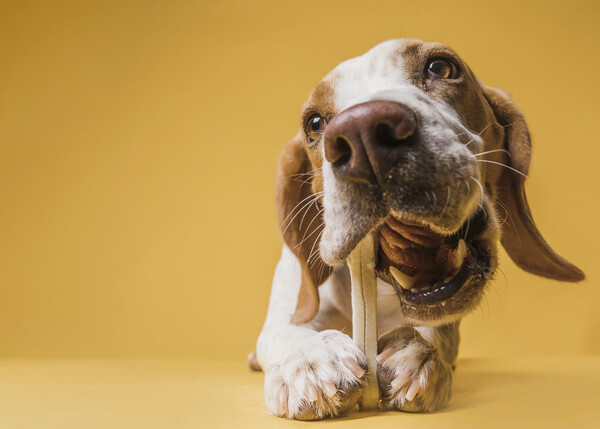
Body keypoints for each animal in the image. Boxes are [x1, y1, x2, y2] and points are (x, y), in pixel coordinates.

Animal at [247, 38, 580, 420]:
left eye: (440, 68)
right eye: (315, 123)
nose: (363, 132)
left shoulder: (447, 323)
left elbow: (438, 334)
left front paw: (417, 353)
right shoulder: (286, 310)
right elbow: (285, 331)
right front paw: (310, 360)